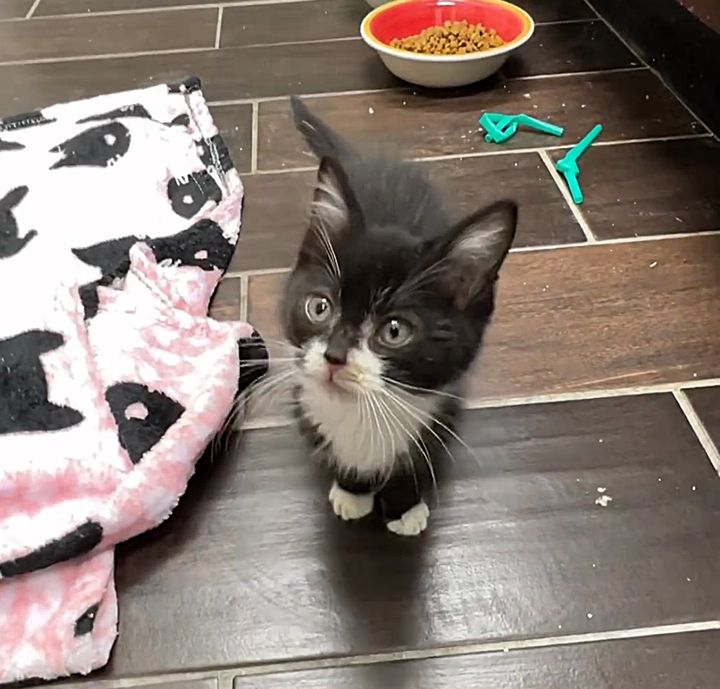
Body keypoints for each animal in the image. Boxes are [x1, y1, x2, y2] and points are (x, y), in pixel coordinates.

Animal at [282, 98, 516, 536]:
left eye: (394, 331)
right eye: (320, 307)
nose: (334, 356)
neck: (364, 413)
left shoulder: (443, 404)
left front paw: (405, 507)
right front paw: (352, 491)